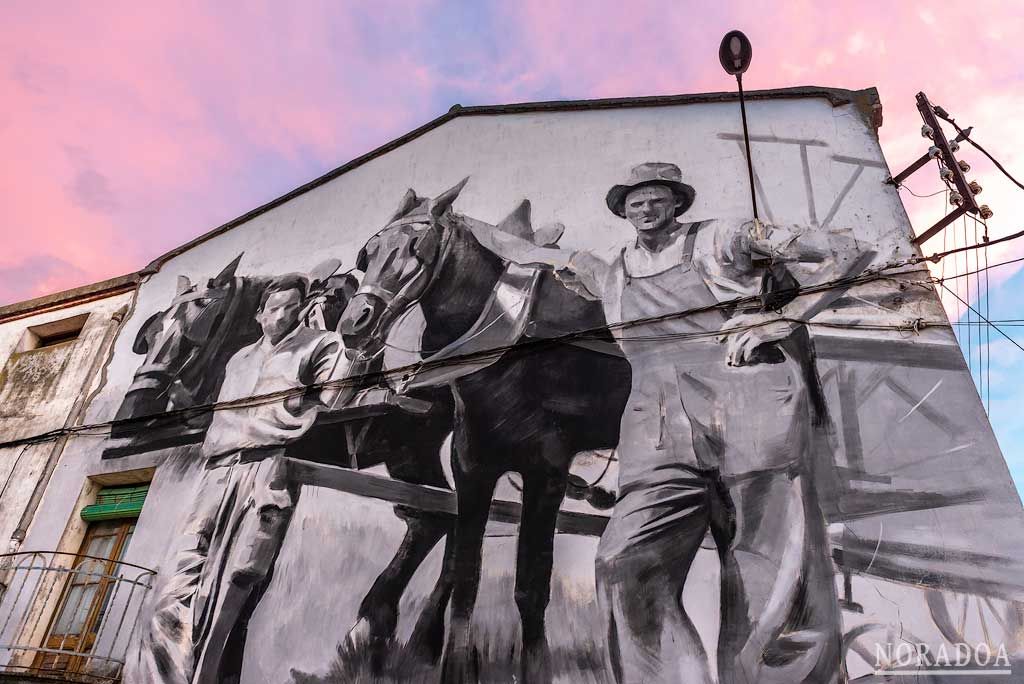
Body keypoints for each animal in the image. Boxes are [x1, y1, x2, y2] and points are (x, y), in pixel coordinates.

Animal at [339, 179, 630, 679]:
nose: (355, 324)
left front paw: (536, 669)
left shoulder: (547, 471)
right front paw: (451, 666)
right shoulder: (472, 463)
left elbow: (530, 584)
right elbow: (466, 574)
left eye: (417, 248)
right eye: (367, 254)